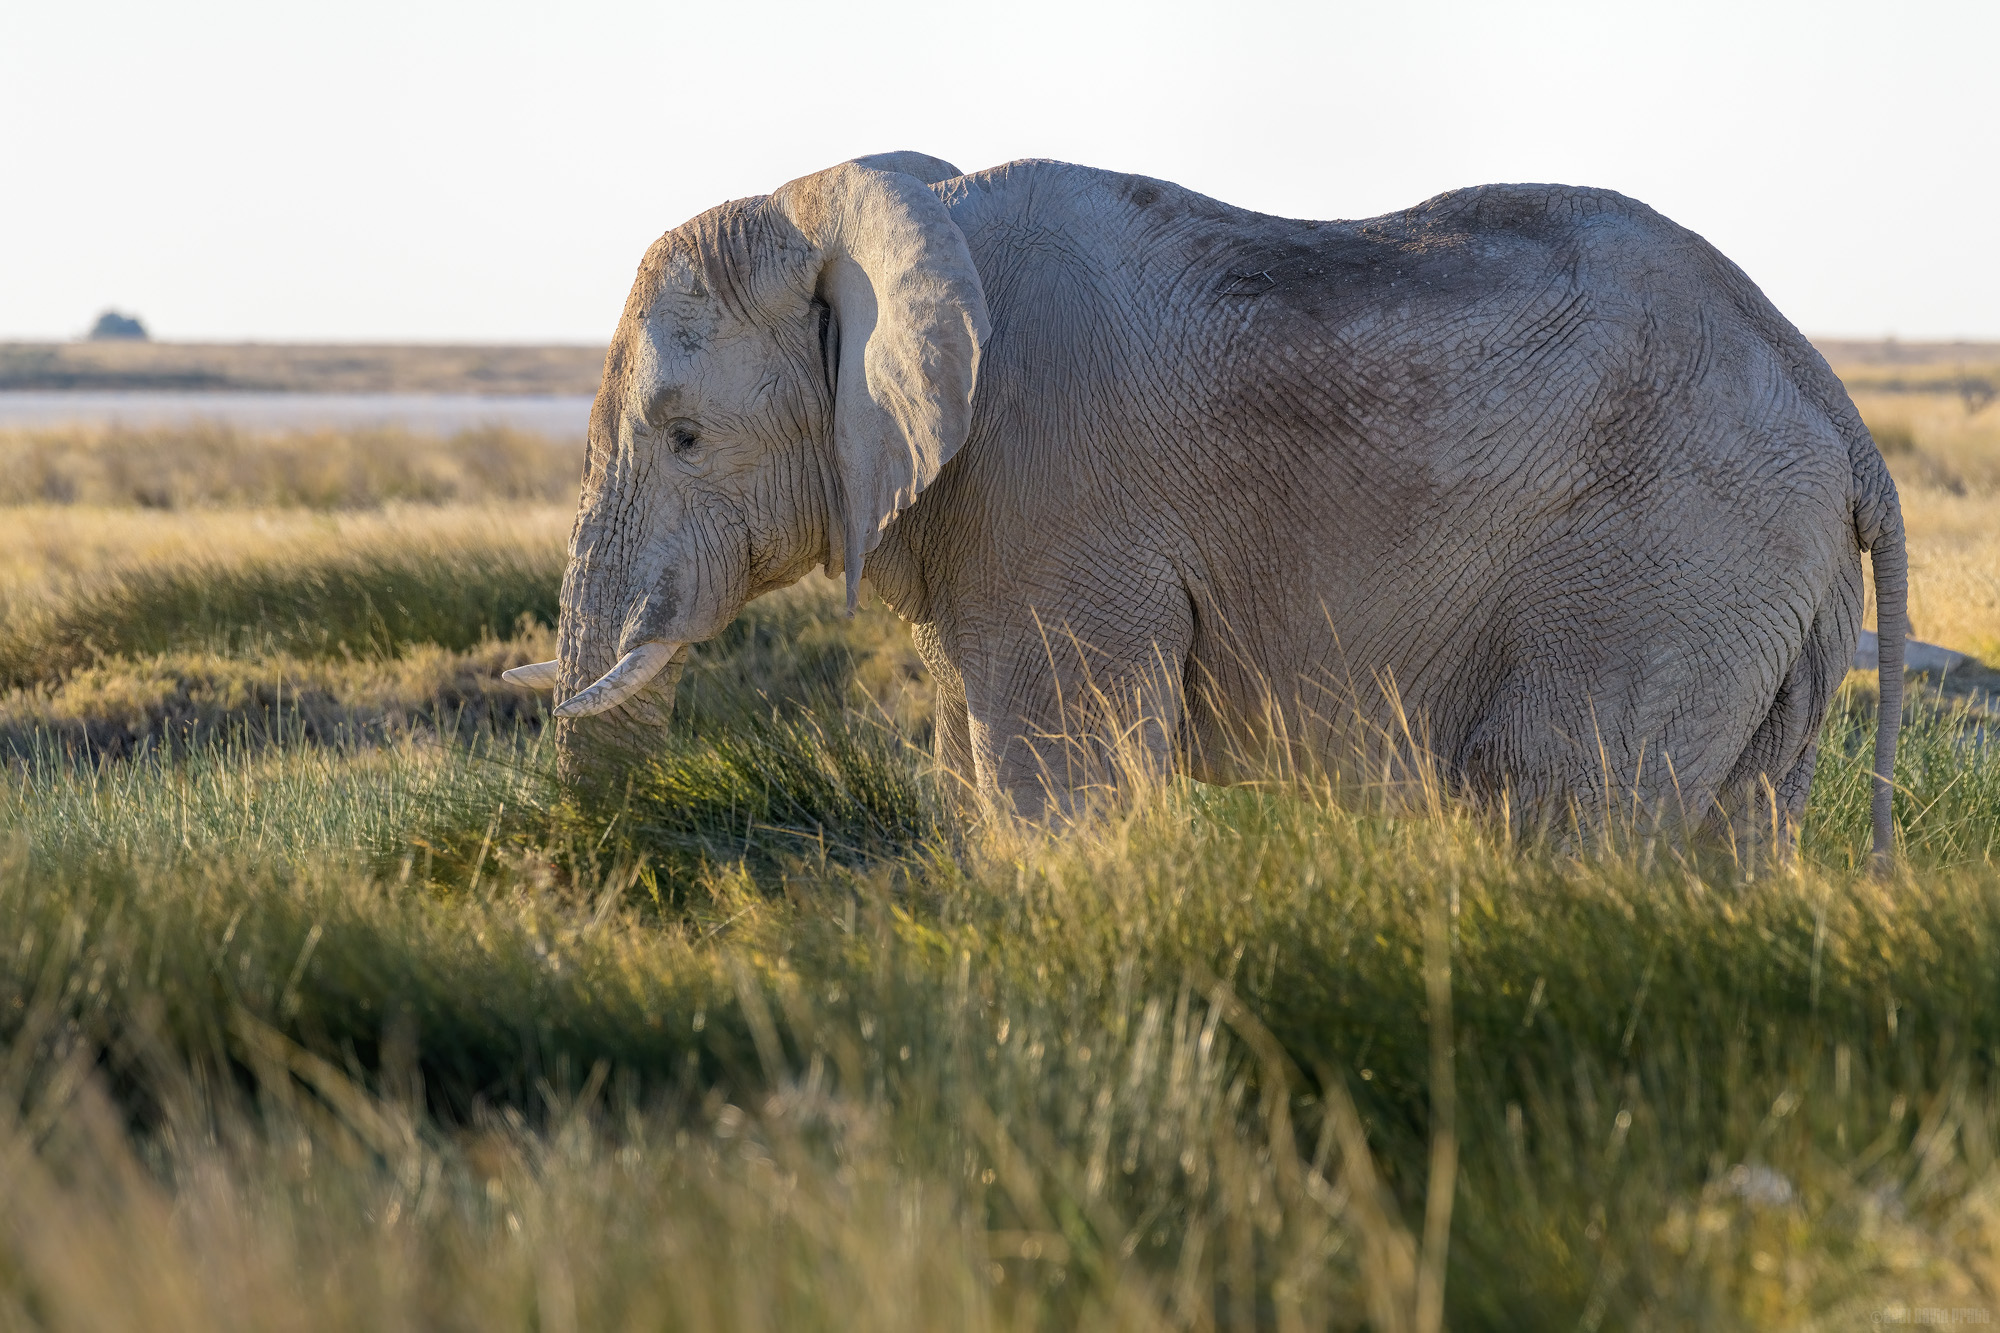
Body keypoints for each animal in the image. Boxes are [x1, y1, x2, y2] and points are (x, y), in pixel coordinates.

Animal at [505, 150, 1907, 860]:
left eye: (684, 436)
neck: (879, 214)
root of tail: (1839, 413)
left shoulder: (1056, 486)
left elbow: (1054, 778)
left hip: (1668, 561)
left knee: (1556, 798)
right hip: (1763, 592)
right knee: (1735, 832)